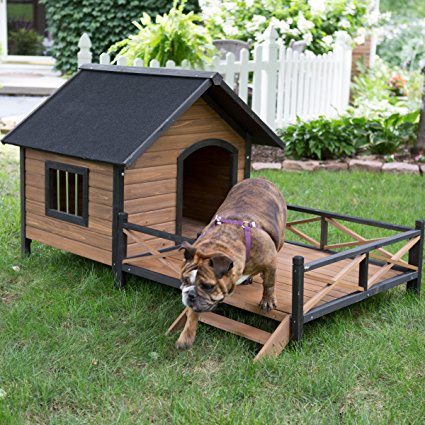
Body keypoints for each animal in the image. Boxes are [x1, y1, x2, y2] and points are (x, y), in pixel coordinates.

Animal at [174, 177, 286, 350]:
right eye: (184, 280)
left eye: (208, 286)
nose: (190, 294)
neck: (220, 244)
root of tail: (260, 178)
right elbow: (192, 314)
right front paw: (186, 337)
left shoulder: (270, 262)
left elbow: (269, 283)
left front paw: (267, 300)